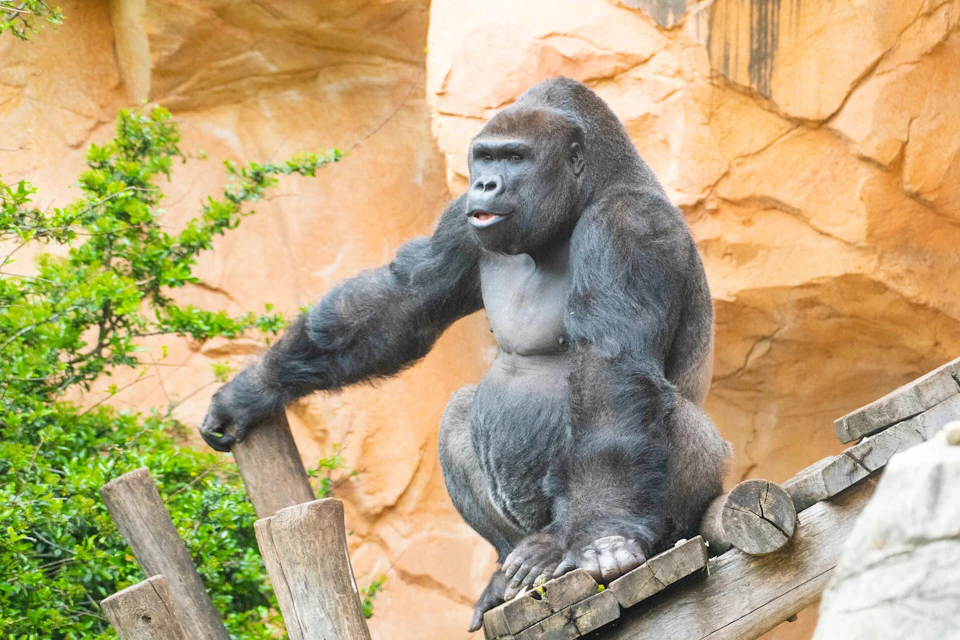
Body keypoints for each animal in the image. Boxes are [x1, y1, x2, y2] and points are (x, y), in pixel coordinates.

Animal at [200, 77, 731, 632]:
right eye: (485, 157)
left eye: (516, 157)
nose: (486, 186)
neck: (581, 198)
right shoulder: (461, 221)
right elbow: (403, 304)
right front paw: (253, 388)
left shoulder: (628, 225)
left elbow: (613, 368)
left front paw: (606, 532)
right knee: (461, 410)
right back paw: (508, 568)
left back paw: (565, 544)